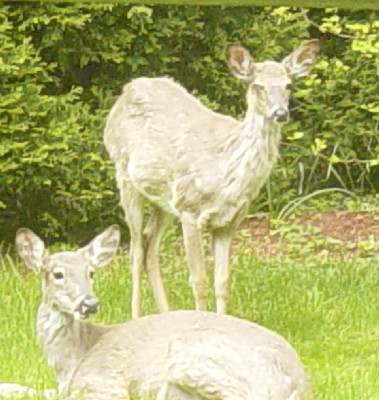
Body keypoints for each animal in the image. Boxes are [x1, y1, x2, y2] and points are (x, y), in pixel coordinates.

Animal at [15, 225, 312, 400]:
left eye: (91, 273)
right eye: (57, 274)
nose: (89, 304)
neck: (71, 362)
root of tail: (299, 382)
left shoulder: (105, 383)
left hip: (192, 358)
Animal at [104, 39, 320, 318]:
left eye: (289, 85)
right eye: (257, 85)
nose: (280, 113)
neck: (226, 172)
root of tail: (128, 88)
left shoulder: (228, 220)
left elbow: (222, 282)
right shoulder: (189, 209)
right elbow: (199, 281)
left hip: (165, 199)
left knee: (150, 245)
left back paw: (166, 315)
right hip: (124, 175)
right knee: (135, 250)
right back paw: (136, 316)